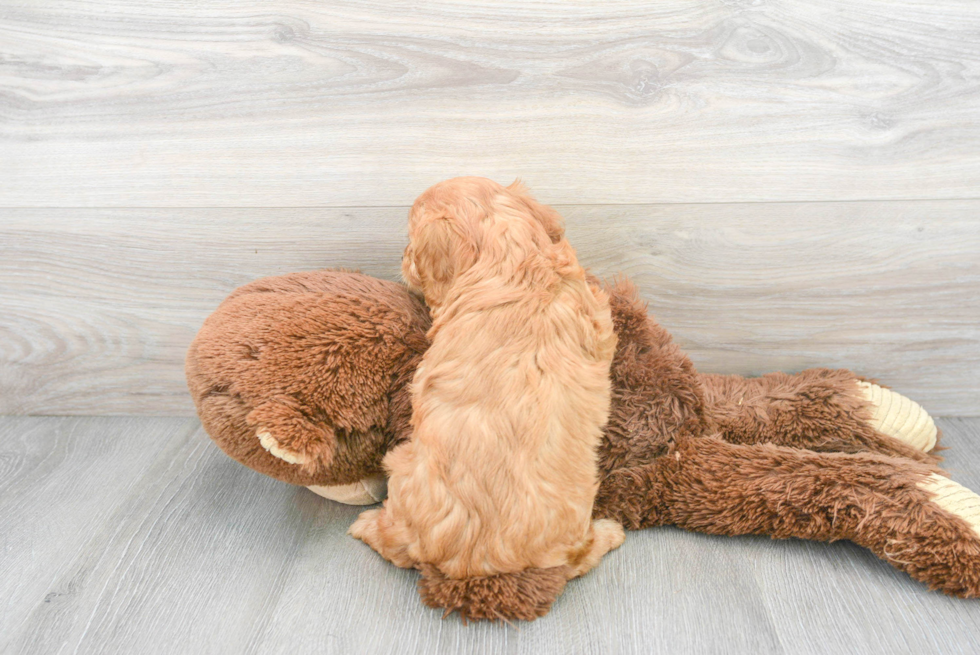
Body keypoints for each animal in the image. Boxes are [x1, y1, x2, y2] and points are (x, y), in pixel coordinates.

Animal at [352, 177, 624, 616]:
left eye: (411, 240)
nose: (401, 256)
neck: (516, 261)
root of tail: (474, 569)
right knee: (581, 558)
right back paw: (610, 531)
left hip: (400, 468)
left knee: (395, 543)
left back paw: (364, 527)